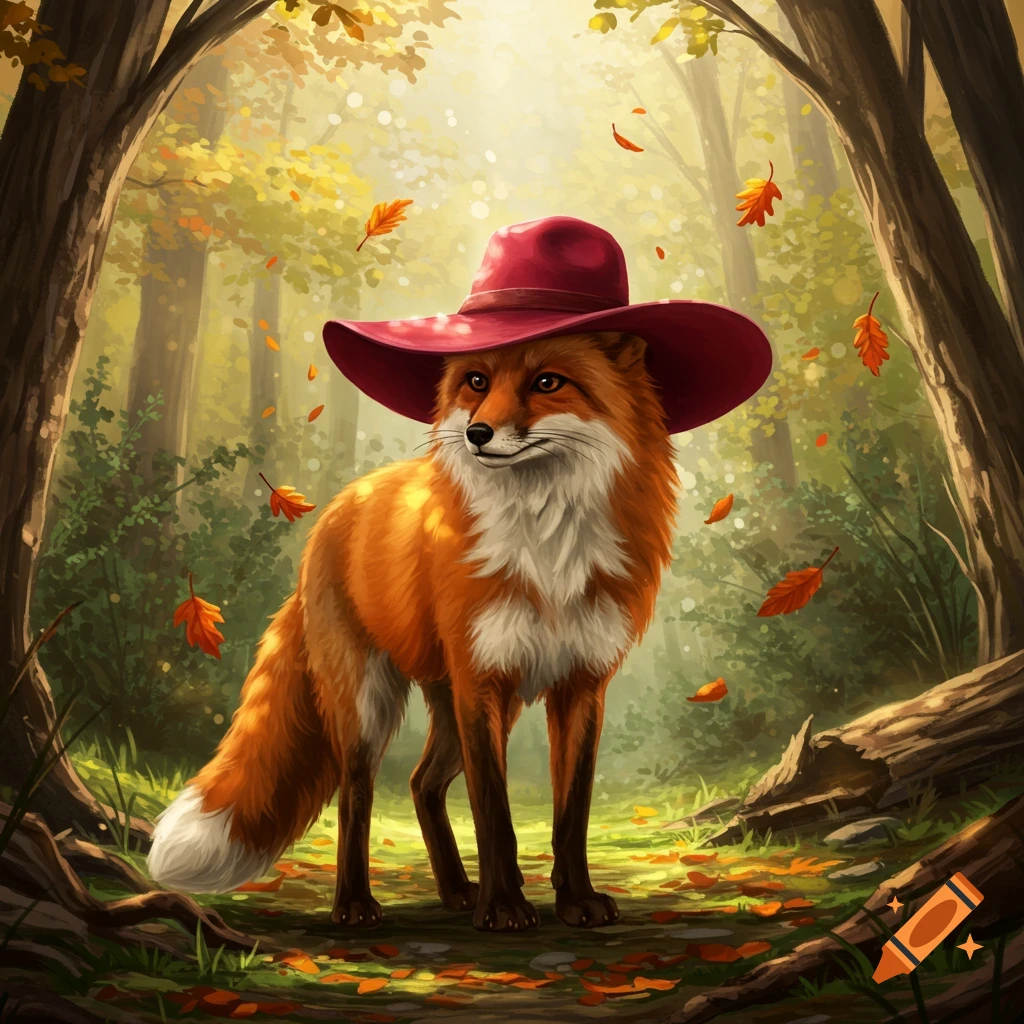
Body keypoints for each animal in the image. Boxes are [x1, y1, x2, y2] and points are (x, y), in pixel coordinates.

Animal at [147, 330, 679, 932]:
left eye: (548, 382)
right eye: (477, 382)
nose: (477, 434)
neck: (546, 549)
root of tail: (335, 510)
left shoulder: (581, 685)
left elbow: (571, 816)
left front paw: (575, 901)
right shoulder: (480, 680)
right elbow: (493, 813)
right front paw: (503, 907)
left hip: (465, 706)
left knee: (422, 783)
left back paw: (456, 889)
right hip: (369, 706)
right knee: (355, 795)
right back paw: (355, 903)